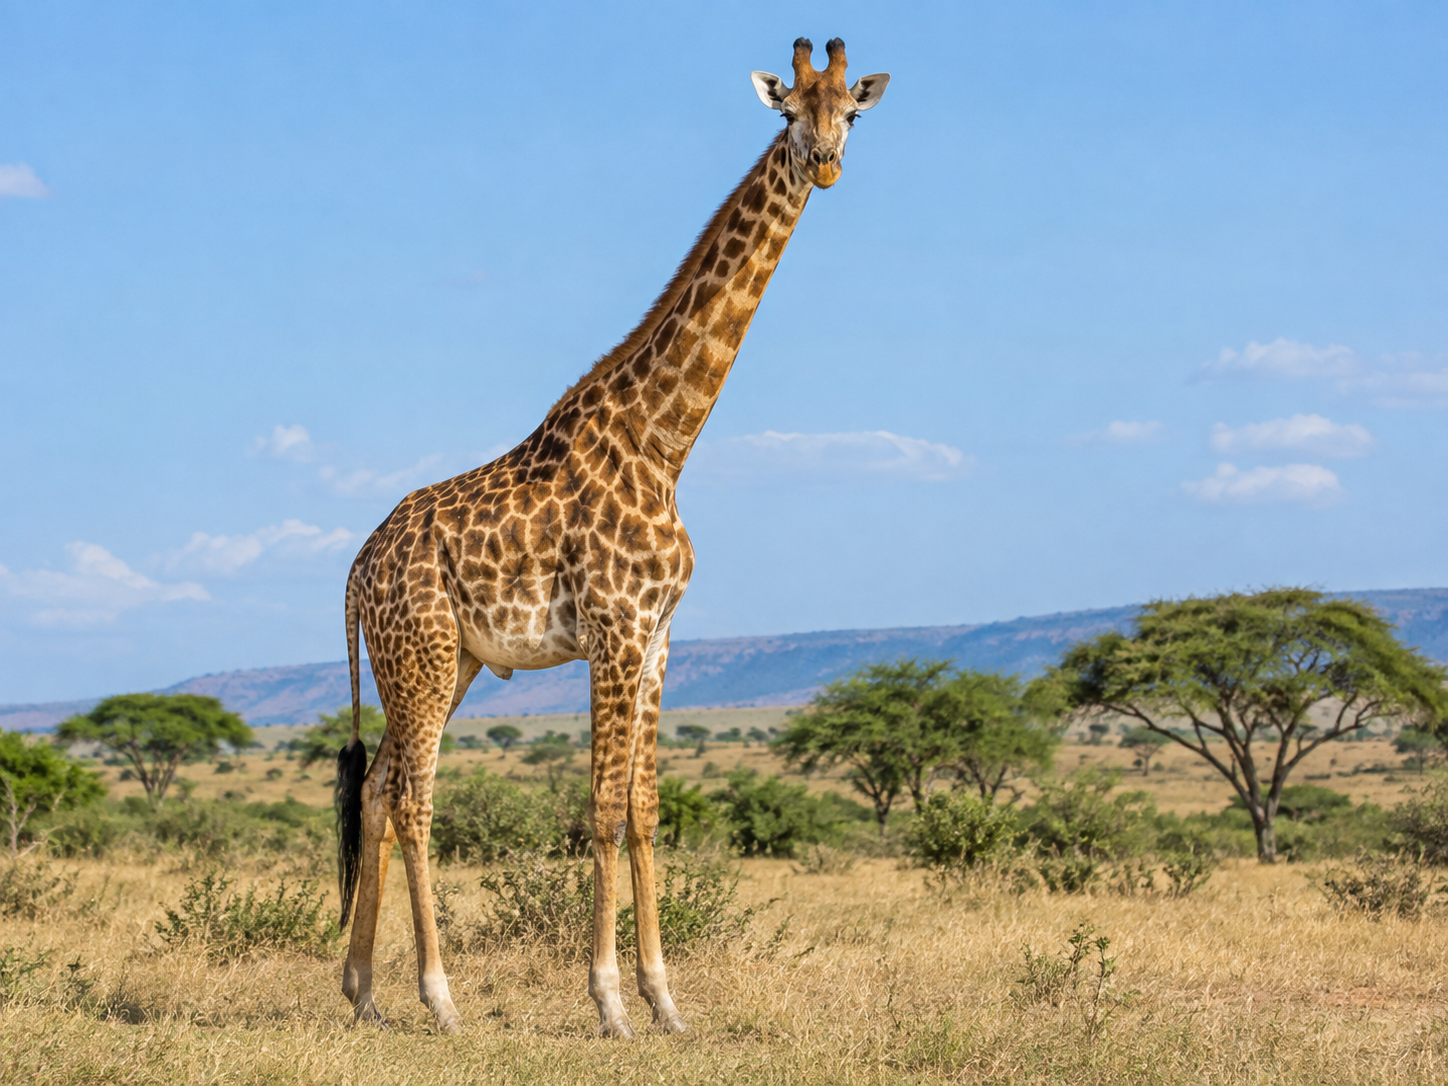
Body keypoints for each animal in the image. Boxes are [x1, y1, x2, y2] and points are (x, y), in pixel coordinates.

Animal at [334, 37, 889, 1038]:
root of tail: (357, 568)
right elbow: (598, 810)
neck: (665, 440)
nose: (824, 164)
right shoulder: (615, 631)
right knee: (415, 798)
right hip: (423, 658)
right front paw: (609, 1005)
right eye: (789, 112)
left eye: (852, 112)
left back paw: (363, 994)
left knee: (375, 788)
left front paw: (667, 1002)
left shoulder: (660, 636)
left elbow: (645, 810)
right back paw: (439, 998)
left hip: (441, 663)